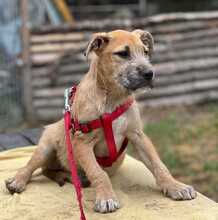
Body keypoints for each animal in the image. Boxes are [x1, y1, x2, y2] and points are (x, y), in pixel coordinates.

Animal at [5, 29, 197, 213]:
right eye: (123, 54)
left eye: (145, 52)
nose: (150, 74)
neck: (113, 99)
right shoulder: (82, 143)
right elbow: (98, 172)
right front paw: (106, 198)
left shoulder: (138, 135)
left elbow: (158, 164)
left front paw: (175, 186)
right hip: (46, 147)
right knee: (31, 167)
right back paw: (18, 180)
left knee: (48, 171)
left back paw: (68, 177)